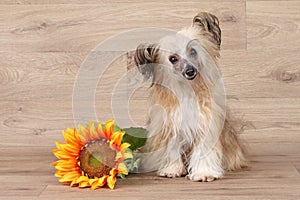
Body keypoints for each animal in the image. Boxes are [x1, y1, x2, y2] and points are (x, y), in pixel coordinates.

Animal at [135, 12, 247, 181]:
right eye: (173, 59)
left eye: (193, 51)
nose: (190, 71)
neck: (188, 91)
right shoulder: (171, 126)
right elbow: (172, 150)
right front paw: (172, 169)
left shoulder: (205, 126)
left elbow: (204, 151)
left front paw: (204, 173)